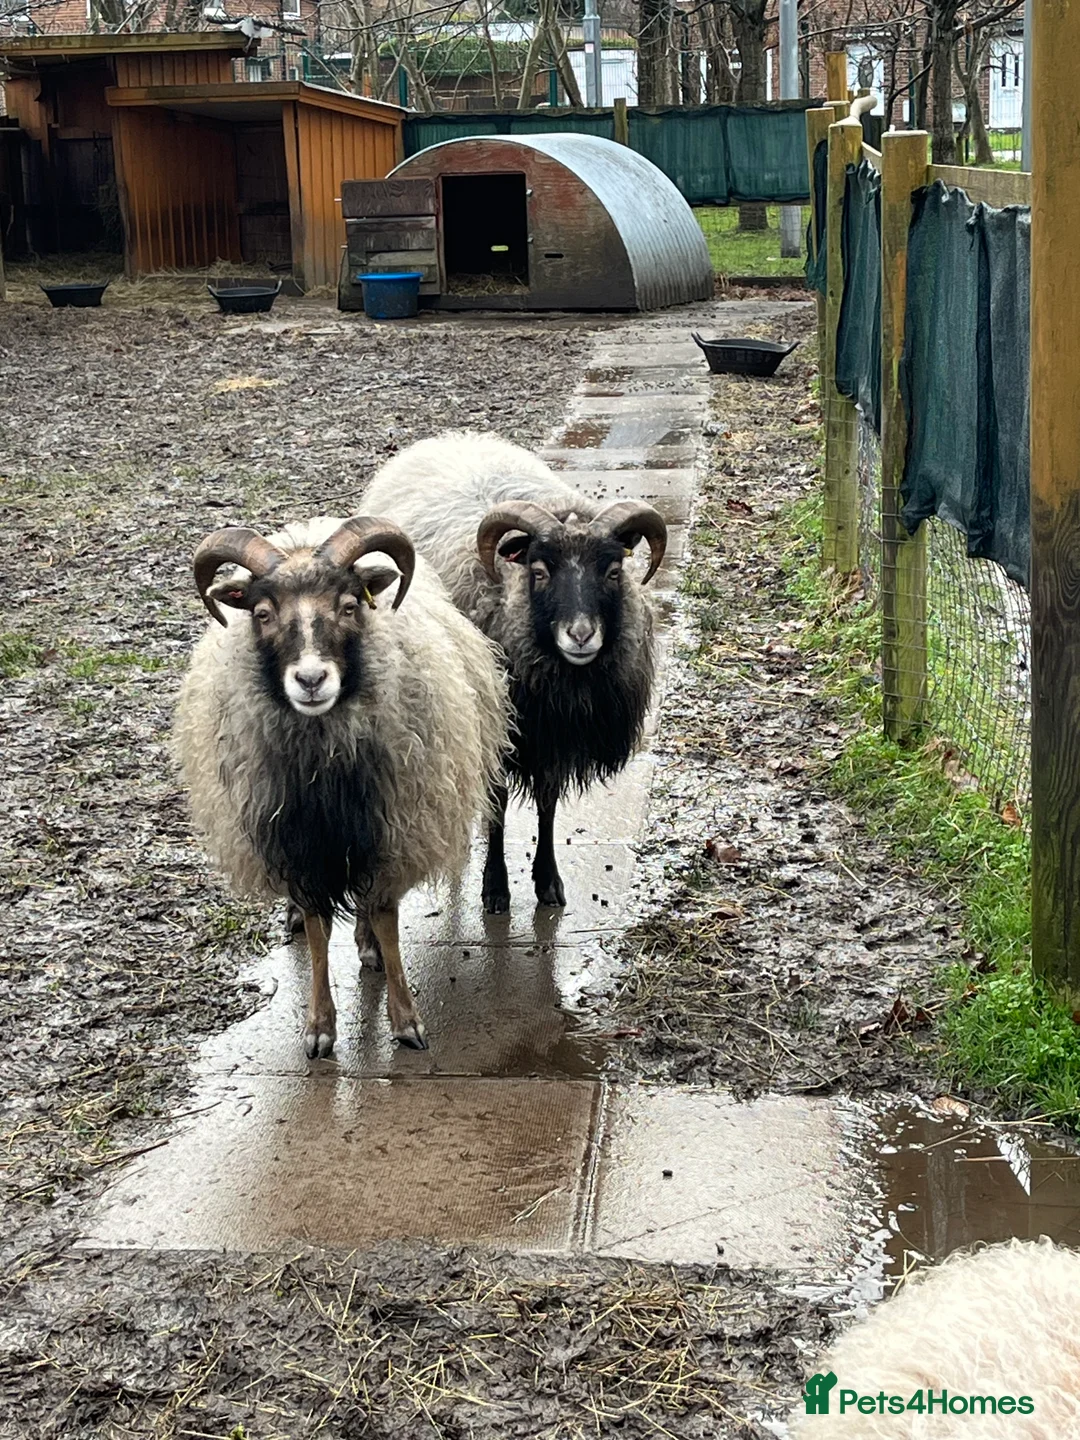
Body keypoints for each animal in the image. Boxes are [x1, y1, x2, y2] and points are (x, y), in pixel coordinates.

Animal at [173, 513, 508, 1057]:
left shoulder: (391, 831)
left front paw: (406, 1020)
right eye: (262, 613)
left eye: (349, 606)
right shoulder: (300, 846)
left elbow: (386, 920)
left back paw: (368, 948)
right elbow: (316, 932)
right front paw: (319, 1027)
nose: (311, 680)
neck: (323, 766)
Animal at [361, 431, 666, 913]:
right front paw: (495, 887)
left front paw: (549, 881)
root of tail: (450, 439)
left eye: (614, 571)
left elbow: (548, 803)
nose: (581, 635)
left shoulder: (553, 734)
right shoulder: (503, 725)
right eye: (538, 571)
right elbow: (499, 804)